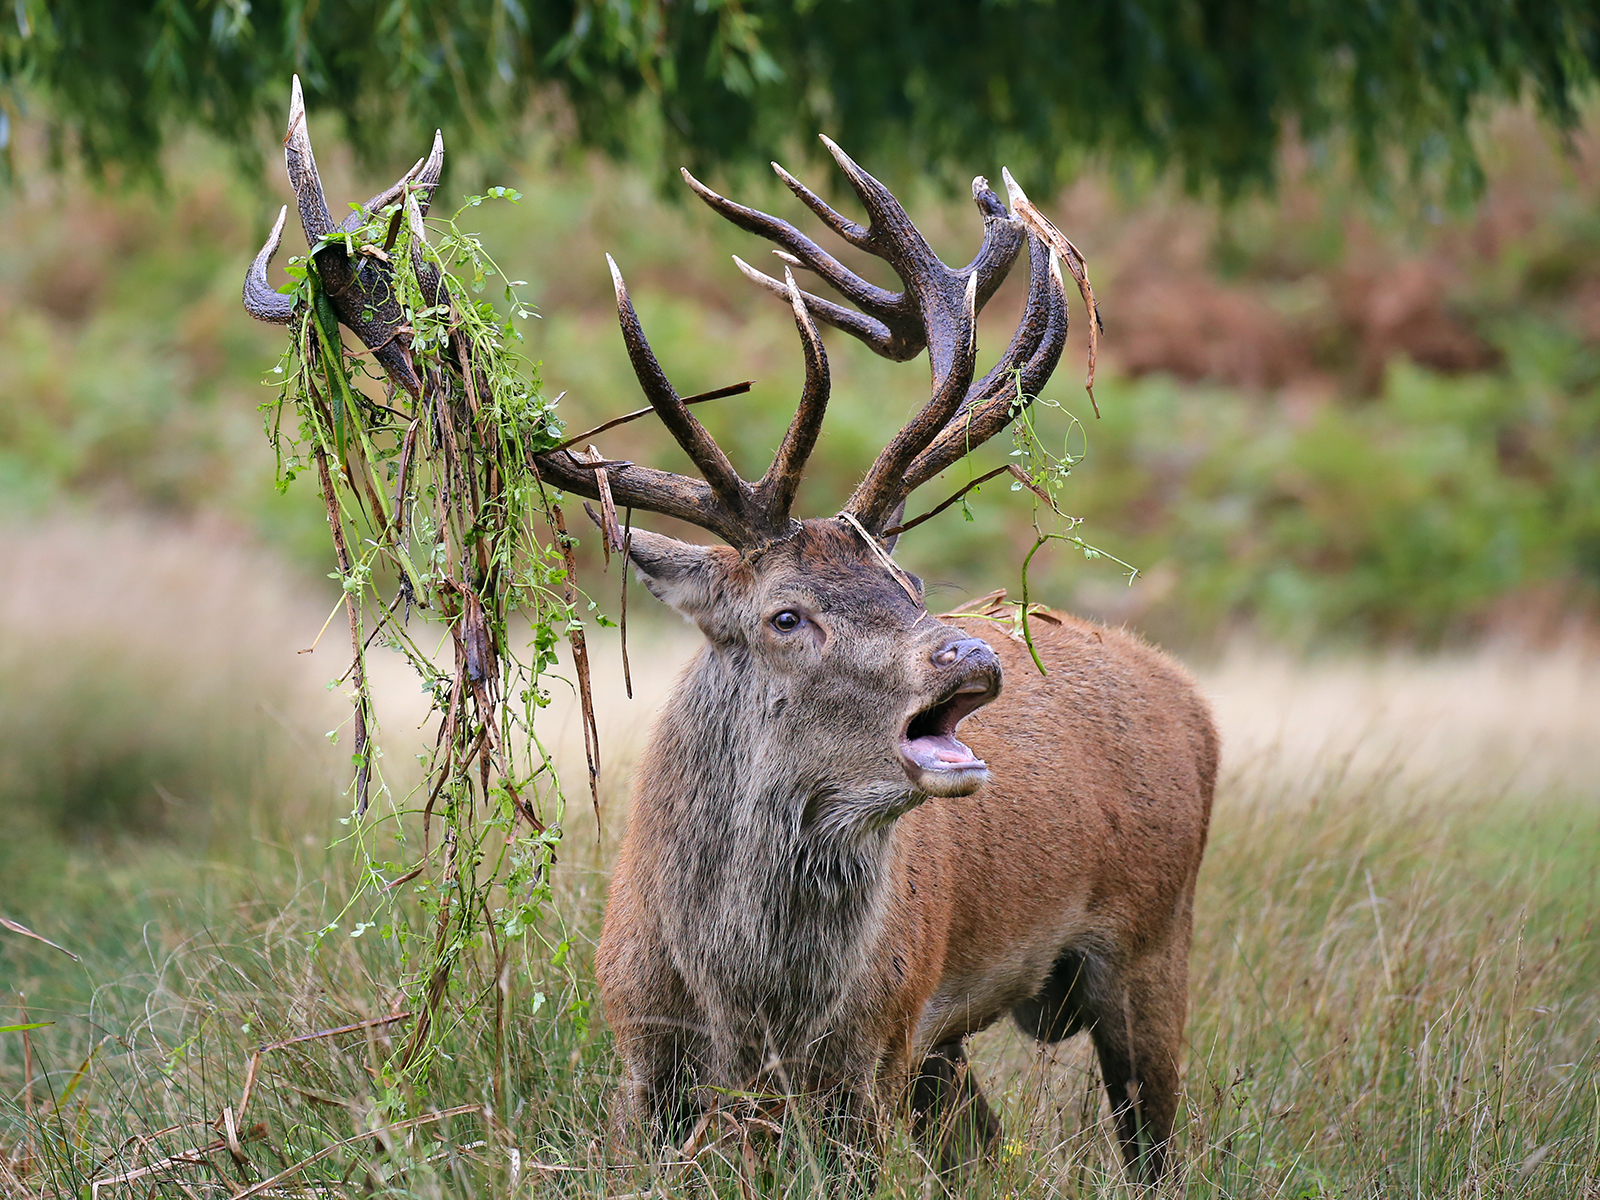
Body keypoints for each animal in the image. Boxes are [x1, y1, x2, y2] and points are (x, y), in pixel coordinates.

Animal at [242, 80, 1216, 1183]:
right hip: (965, 1038)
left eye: (907, 579)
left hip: (1149, 943)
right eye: (785, 615)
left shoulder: (875, 1050)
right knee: (986, 1141)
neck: (751, 1012)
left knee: (1153, 1142)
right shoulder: (643, 1054)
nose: (972, 654)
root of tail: (1188, 697)